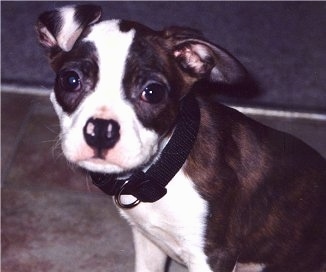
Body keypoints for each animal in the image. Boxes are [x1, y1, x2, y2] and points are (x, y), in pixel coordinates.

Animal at [36, 4, 326, 272]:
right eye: (70, 80)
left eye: (152, 92)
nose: (101, 130)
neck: (162, 169)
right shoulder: (148, 242)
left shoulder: (212, 256)